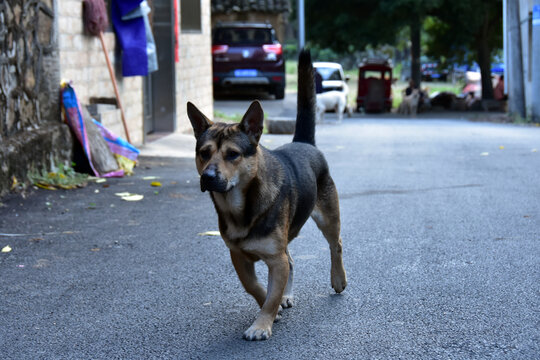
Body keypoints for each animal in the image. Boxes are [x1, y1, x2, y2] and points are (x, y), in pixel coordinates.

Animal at [186, 50, 346, 340]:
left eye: (233, 154)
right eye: (204, 153)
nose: (208, 177)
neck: (241, 205)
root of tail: (304, 143)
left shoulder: (275, 259)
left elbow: (271, 292)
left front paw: (261, 324)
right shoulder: (239, 257)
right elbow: (256, 287)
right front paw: (274, 308)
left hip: (328, 218)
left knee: (335, 244)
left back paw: (338, 279)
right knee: (292, 261)